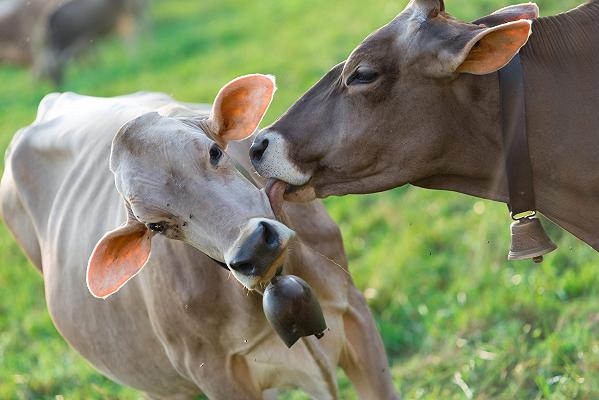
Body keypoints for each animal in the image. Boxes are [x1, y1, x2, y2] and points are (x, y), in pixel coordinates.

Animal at [0, 0, 146, 84]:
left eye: (60, 73)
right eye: (50, 76)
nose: (59, 87)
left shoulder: (84, 37)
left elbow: (88, 57)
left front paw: (94, 69)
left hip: (133, 10)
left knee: (136, 31)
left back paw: (140, 53)